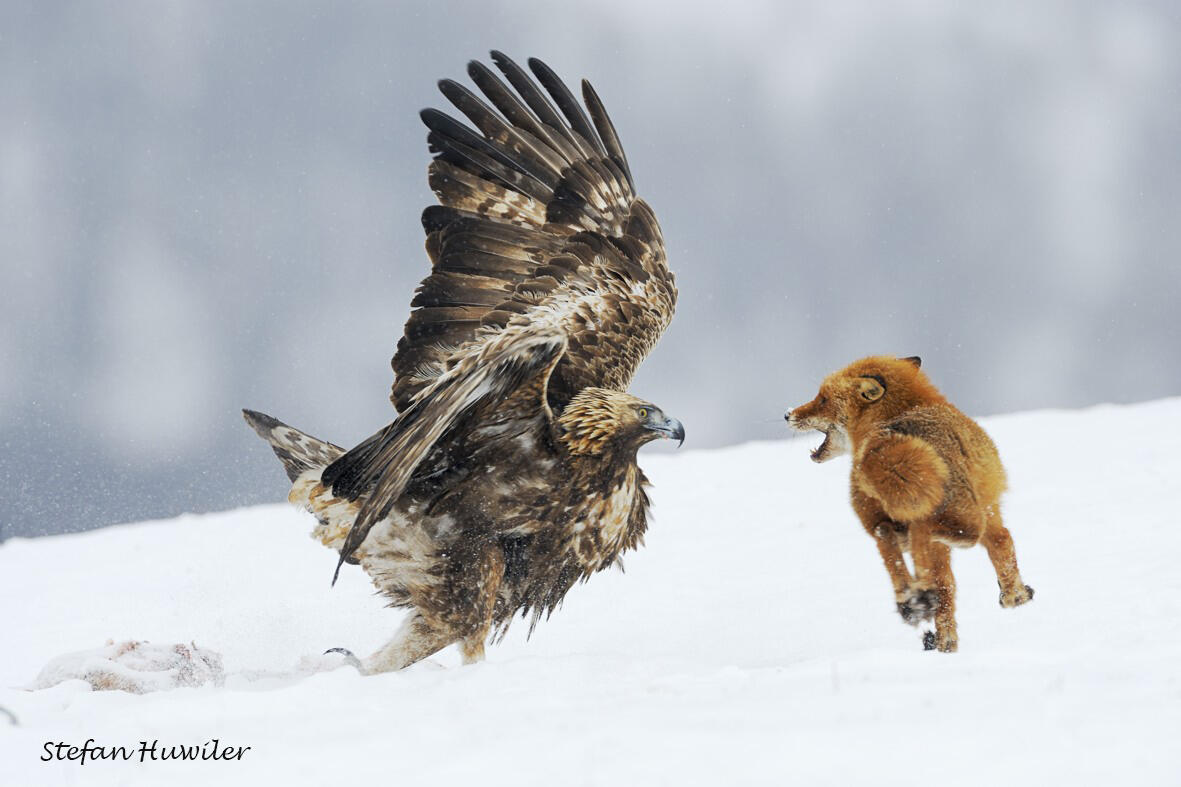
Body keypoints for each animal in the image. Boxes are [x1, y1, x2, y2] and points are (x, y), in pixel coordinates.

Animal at [786, 355, 1034, 652]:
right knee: (965, 544)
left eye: (822, 399)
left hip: (904, 519)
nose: (787, 414)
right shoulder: (988, 507)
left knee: (913, 545)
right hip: (976, 513)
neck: (899, 413)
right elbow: (993, 552)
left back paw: (916, 605)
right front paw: (1013, 596)